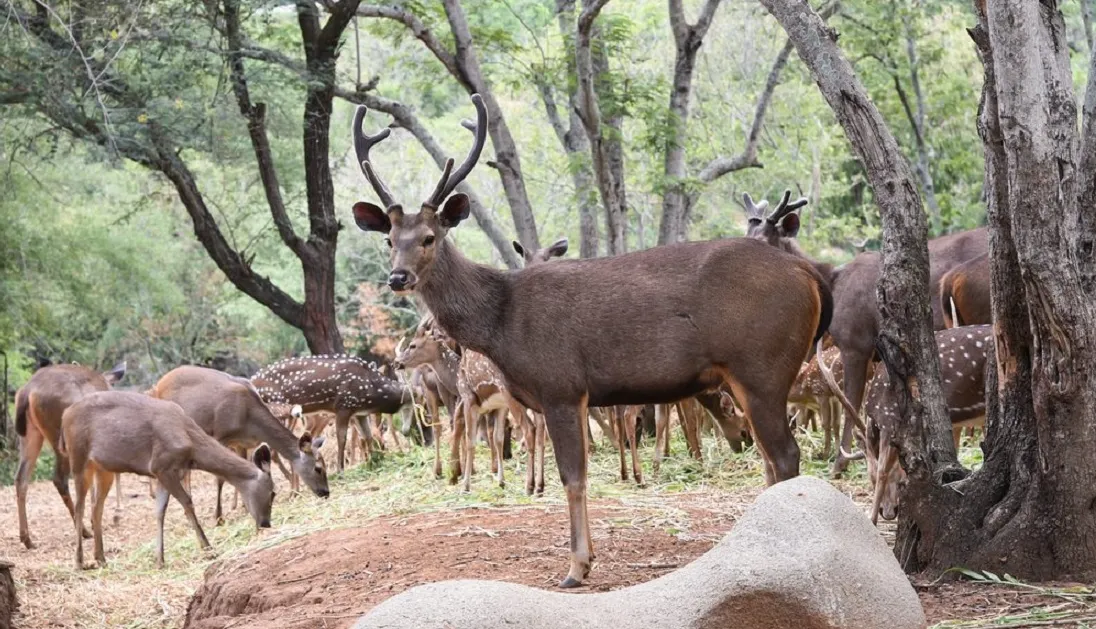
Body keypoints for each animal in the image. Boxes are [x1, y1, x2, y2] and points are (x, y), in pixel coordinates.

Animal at [13, 361, 125, 550]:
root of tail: (28, 391)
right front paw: (106, 518)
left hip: (30, 434)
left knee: (21, 478)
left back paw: (27, 539)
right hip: (61, 438)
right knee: (59, 479)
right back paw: (83, 530)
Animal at [60, 392, 276, 569]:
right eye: (273, 492)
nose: (266, 524)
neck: (191, 445)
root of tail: (65, 415)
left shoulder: (163, 473)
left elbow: (160, 512)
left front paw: (160, 560)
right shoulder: (161, 466)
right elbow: (187, 502)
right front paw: (208, 549)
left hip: (104, 469)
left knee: (96, 508)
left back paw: (101, 558)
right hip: (79, 458)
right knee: (80, 507)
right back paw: (79, 562)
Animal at [151, 363, 328, 521]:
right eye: (318, 468)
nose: (326, 492)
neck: (249, 421)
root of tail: (157, 386)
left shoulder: (241, 443)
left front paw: (246, 506)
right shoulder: (220, 435)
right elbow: (220, 477)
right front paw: (219, 517)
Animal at [350, 94, 837, 591]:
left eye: (429, 237)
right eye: (390, 240)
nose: (397, 278)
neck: (500, 321)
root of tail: (809, 274)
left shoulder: (561, 386)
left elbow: (574, 478)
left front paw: (576, 567)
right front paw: (585, 559)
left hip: (763, 365)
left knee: (785, 455)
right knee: (770, 457)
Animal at [740, 189, 990, 475]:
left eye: (764, 240)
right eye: (746, 234)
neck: (833, 285)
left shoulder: (855, 344)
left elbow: (850, 403)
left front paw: (840, 463)